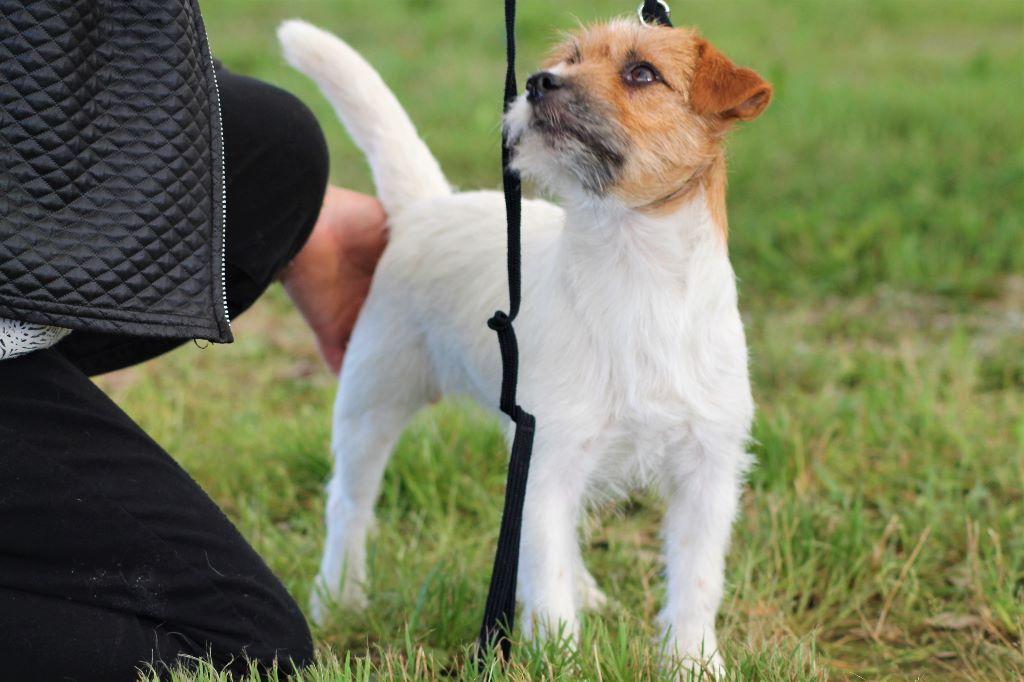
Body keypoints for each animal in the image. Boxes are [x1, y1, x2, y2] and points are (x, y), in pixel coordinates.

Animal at [279, 15, 771, 674]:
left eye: (642, 73)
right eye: (570, 59)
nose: (539, 82)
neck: (636, 276)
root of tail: (426, 206)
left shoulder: (706, 469)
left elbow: (695, 584)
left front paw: (693, 663)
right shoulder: (548, 460)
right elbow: (548, 586)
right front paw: (560, 661)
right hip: (372, 401)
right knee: (348, 507)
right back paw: (339, 598)